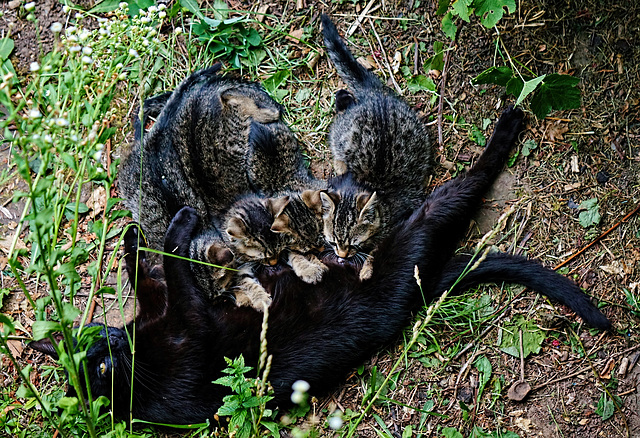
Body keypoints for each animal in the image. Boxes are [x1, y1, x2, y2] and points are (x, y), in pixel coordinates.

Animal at [30, 104, 608, 426]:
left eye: (94, 347)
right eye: (102, 371)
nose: (112, 349)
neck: (143, 368)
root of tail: (426, 283)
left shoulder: (165, 311)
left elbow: (151, 276)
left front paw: (133, 239)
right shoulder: (188, 328)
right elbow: (174, 268)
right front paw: (177, 226)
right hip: (422, 224)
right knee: (470, 183)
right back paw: (509, 123)